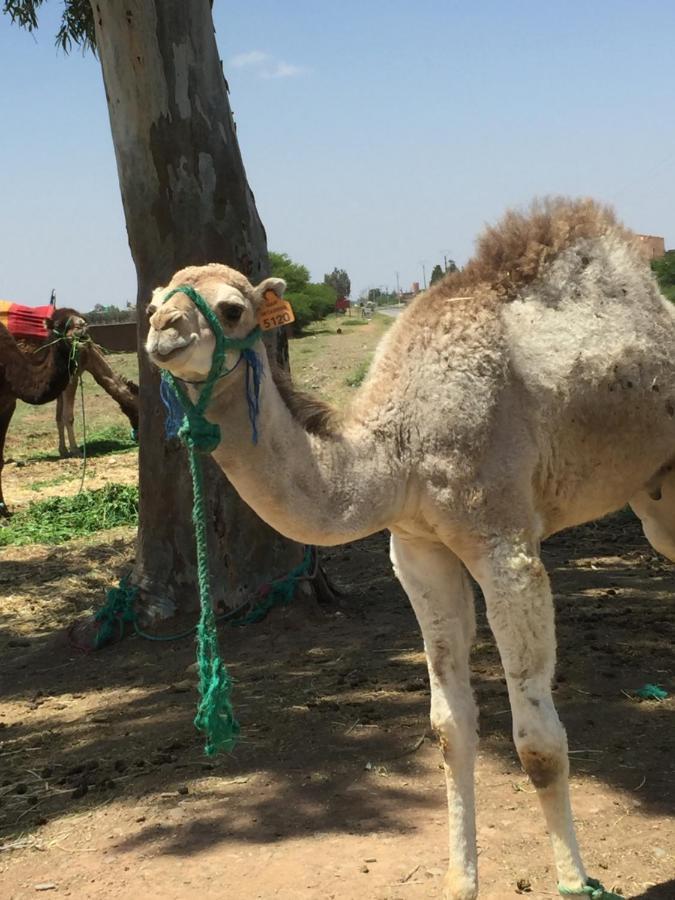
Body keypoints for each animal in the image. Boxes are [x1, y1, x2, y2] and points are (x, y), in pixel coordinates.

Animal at [145, 197, 672, 900]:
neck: (398, 450)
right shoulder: (417, 548)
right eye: (153, 300)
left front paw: (573, 881)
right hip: (652, 493)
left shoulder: (506, 546)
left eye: (231, 309)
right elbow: (450, 729)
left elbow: (537, 743)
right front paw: (459, 881)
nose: (163, 331)